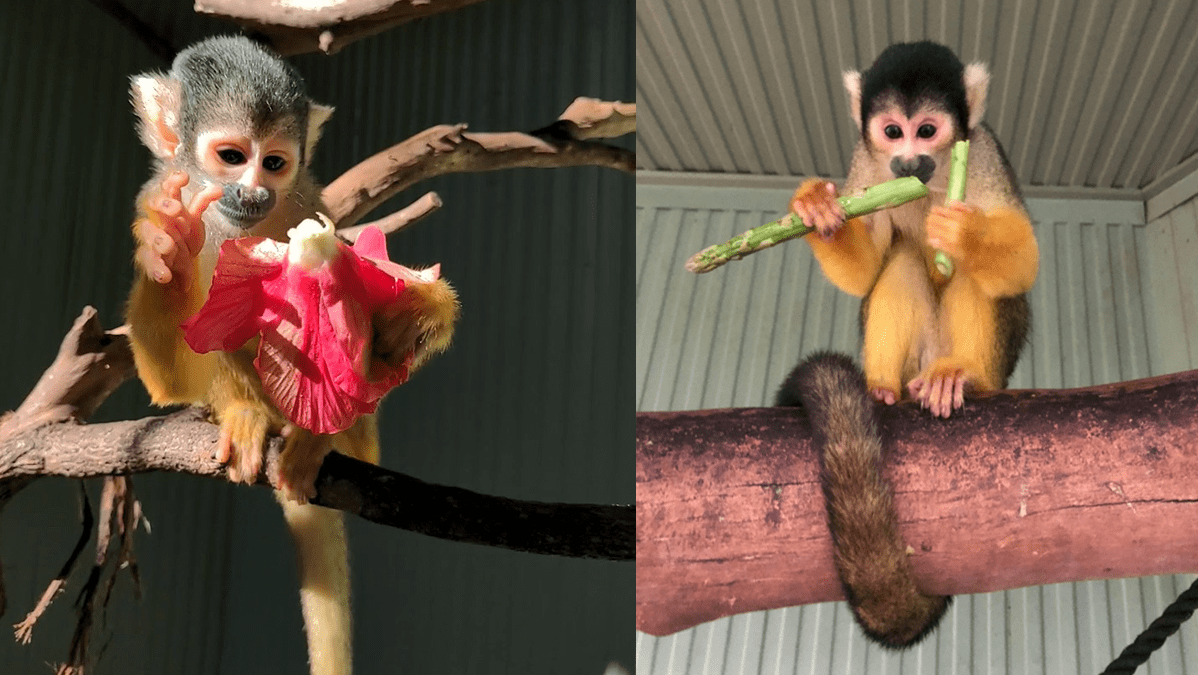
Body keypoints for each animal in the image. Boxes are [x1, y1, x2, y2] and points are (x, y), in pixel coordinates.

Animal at [125, 35, 458, 675]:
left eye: (274, 163)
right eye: (233, 157)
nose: (256, 191)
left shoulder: (307, 199)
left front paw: (418, 311)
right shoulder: (153, 198)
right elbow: (170, 380)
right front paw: (173, 251)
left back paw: (322, 433)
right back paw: (248, 415)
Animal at [790, 41, 1038, 419]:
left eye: (926, 131)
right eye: (893, 132)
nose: (909, 163)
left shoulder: (983, 150)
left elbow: (1024, 260)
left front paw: (966, 233)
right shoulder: (864, 158)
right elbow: (864, 270)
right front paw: (818, 209)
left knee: (980, 274)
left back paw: (963, 375)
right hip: (915, 365)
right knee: (901, 258)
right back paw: (882, 389)